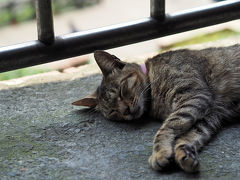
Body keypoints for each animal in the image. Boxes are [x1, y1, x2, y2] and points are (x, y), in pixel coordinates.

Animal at [72, 44, 240, 172]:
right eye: (113, 111)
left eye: (121, 91)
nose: (126, 111)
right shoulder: (211, 114)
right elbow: (192, 134)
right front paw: (184, 153)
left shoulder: (194, 95)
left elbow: (166, 127)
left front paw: (159, 153)